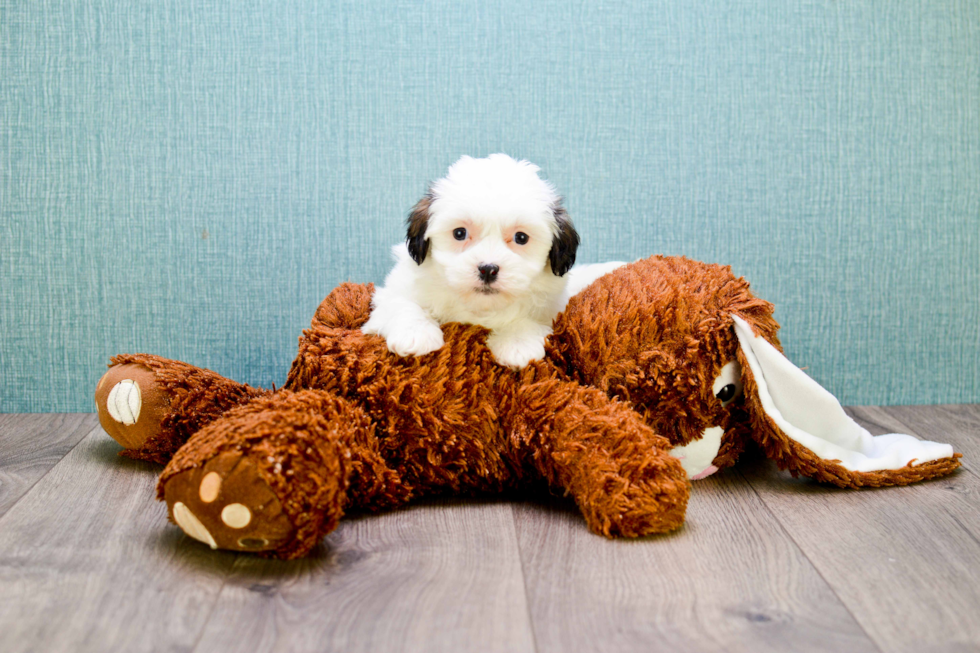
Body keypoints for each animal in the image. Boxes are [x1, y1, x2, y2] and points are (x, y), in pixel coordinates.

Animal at [362, 153, 580, 366]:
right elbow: (400, 302)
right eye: (459, 233)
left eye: (521, 237)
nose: (488, 269)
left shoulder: (551, 309)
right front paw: (416, 333)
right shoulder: (395, 290)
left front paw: (518, 342)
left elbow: (530, 320)